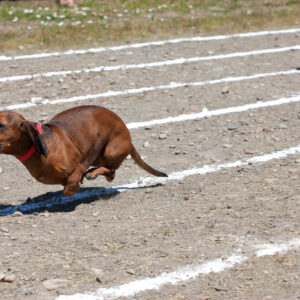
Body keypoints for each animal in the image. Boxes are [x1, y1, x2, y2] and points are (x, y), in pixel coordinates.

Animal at [0, 105, 168, 197]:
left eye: (1, 124)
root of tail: (129, 139)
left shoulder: (78, 166)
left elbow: (70, 186)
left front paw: (74, 185)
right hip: (99, 156)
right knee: (109, 172)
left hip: (110, 150)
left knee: (111, 173)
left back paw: (93, 173)